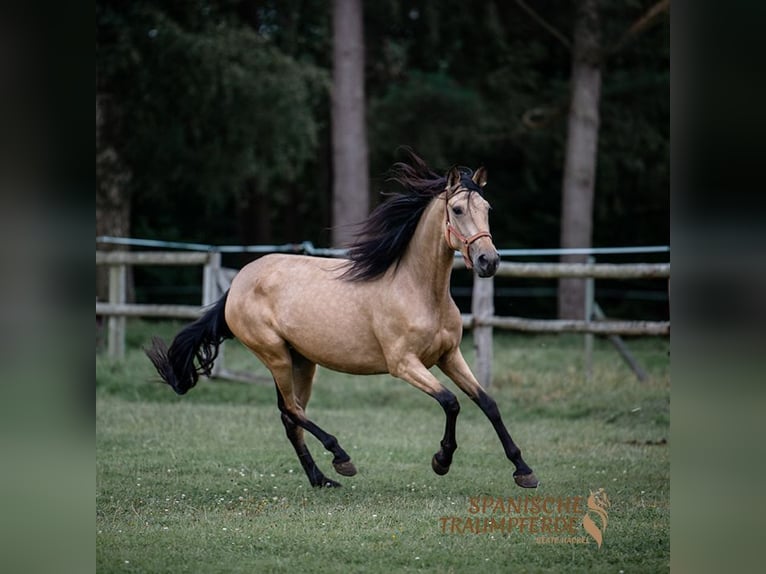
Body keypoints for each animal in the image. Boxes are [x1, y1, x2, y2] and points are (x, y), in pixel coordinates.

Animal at [146, 152, 540, 490]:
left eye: (487, 209)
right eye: (457, 209)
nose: (489, 261)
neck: (417, 291)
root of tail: (238, 282)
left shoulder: (449, 356)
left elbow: (487, 403)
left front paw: (524, 470)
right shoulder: (404, 364)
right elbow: (451, 402)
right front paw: (441, 460)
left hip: (302, 361)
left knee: (290, 416)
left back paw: (321, 479)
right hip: (274, 355)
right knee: (291, 409)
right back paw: (341, 458)